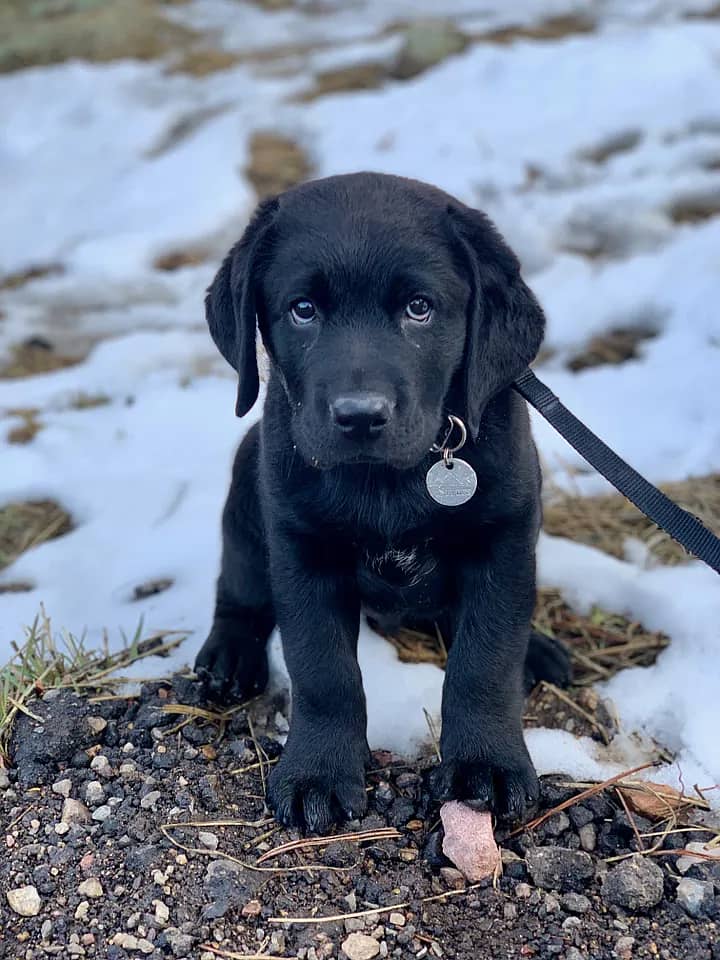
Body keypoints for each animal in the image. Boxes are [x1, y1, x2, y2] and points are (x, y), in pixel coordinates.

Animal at [195, 172, 568, 832]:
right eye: (303, 309)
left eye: (419, 308)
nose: (360, 416)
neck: (392, 480)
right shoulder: (302, 549)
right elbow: (323, 671)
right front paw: (318, 773)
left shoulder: (503, 539)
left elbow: (485, 660)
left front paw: (487, 764)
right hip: (246, 480)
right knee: (238, 588)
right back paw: (229, 656)